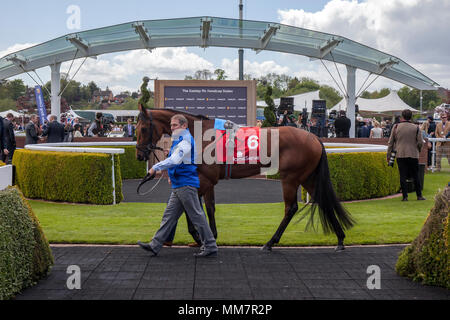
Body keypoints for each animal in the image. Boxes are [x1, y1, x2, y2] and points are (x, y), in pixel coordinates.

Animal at [135, 106, 354, 251]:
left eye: (143, 129)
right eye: (136, 129)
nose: (139, 155)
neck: (200, 135)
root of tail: (315, 137)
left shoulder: (205, 179)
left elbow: (190, 207)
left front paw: (198, 236)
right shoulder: (208, 180)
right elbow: (209, 208)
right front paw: (210, 236)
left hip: (291, 178)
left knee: (291, 208)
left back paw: (270, 243)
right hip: (307, 177)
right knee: (323, 201)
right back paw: (340, 239)